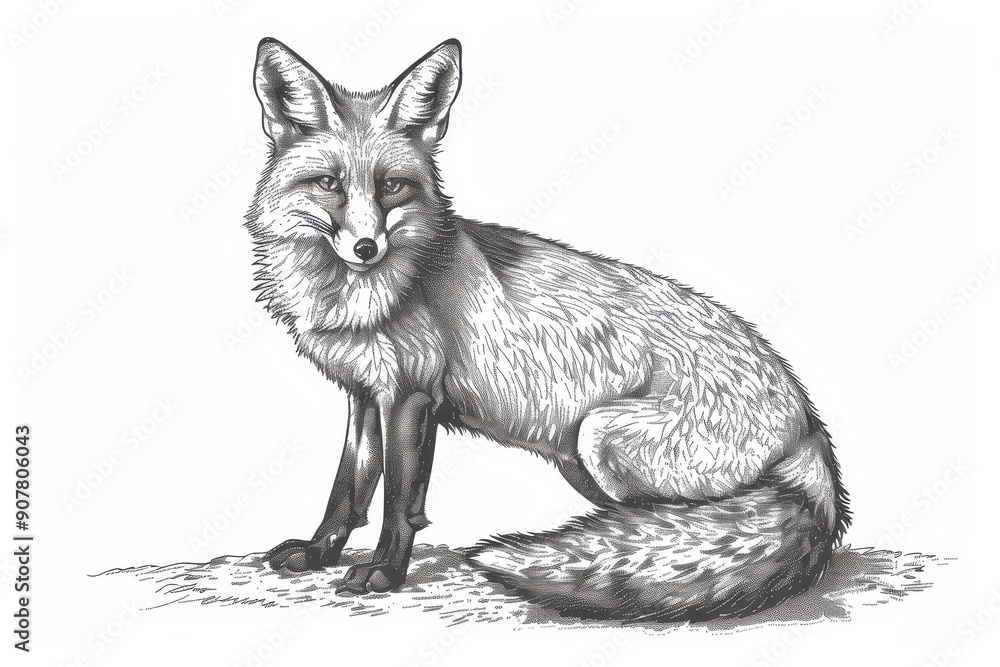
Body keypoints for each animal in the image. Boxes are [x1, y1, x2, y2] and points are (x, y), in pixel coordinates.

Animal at [245, 37, 850, 622]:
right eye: (328, 184)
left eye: (392, 186)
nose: (367, 248)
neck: (357, 297)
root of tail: (808, 421)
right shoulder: (366, 393)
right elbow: (348, 489)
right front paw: (319, 552)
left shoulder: (412, 395)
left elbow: (397, 499)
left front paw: (384, 572)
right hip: (583, 456)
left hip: (598, 437)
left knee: (679, 522)